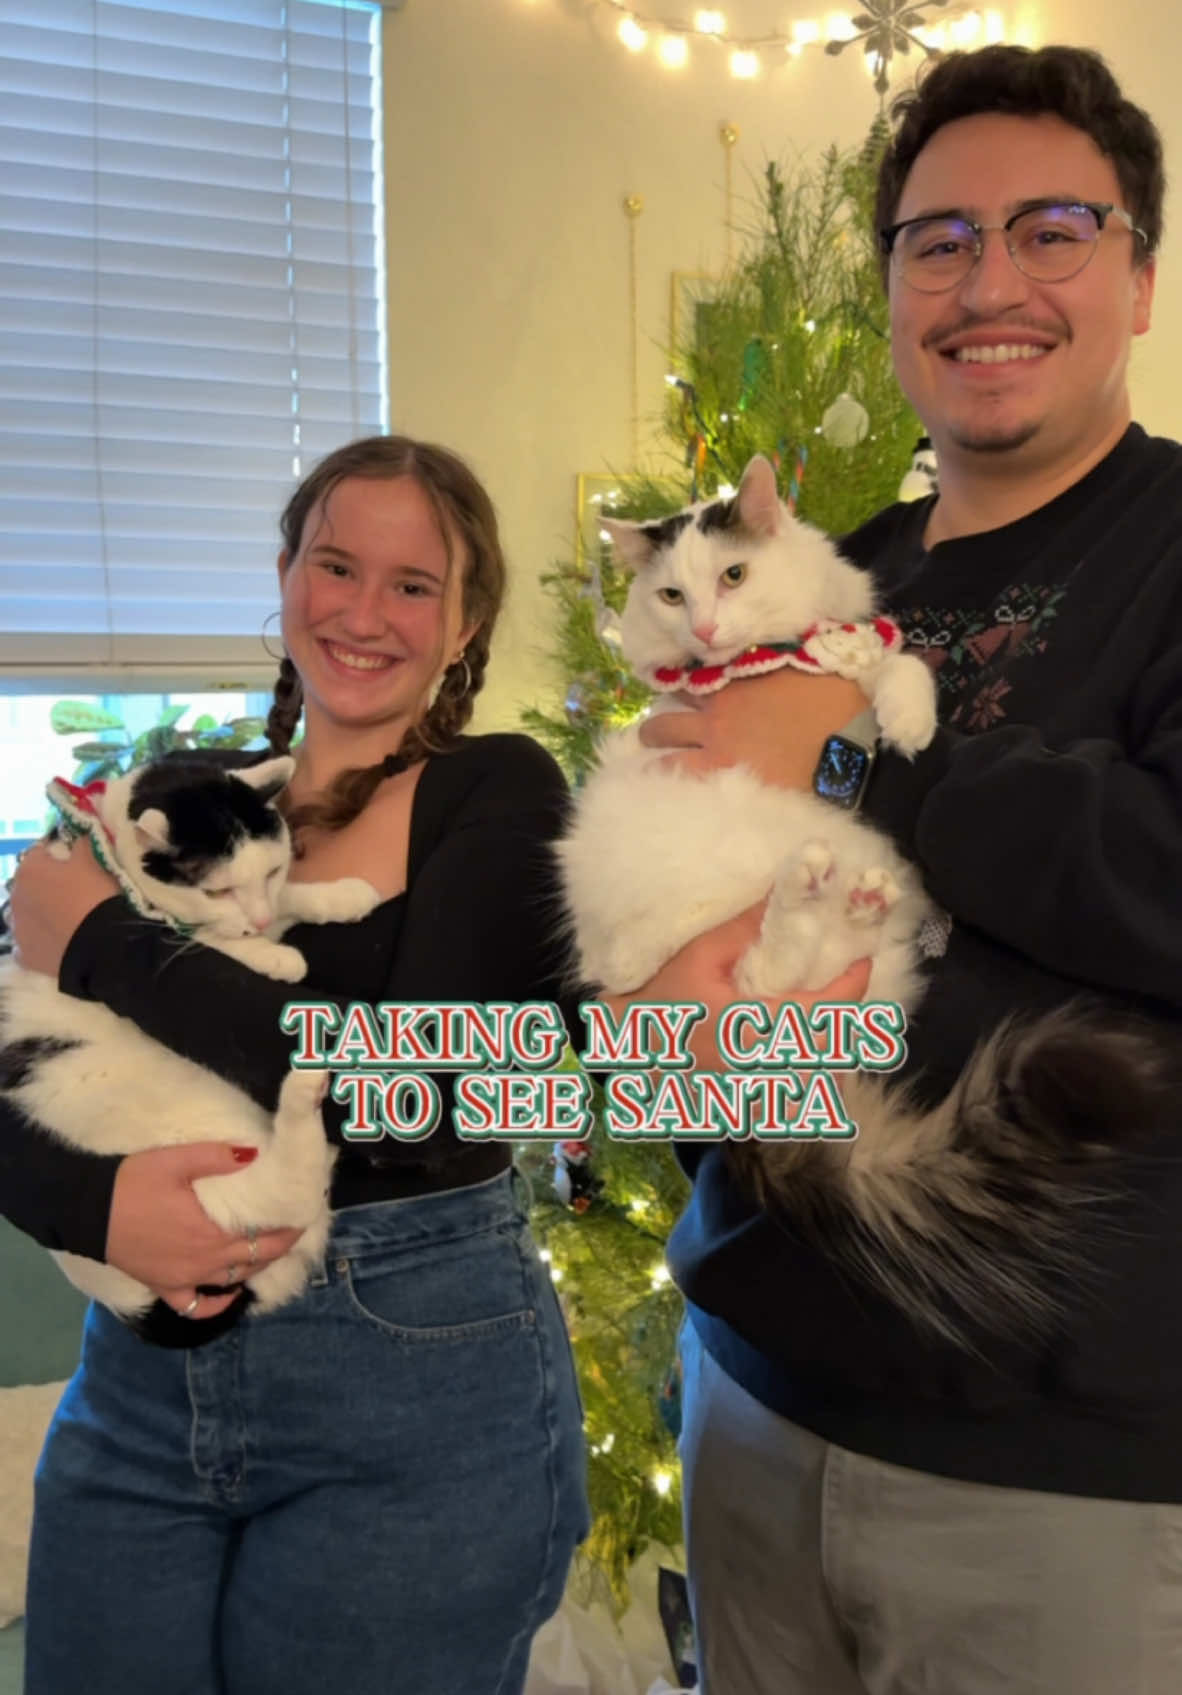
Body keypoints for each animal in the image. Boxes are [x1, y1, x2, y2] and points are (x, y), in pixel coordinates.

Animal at [0, 752, 376, 1335]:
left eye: (272, 870)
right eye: (216, 890)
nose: (258, 922)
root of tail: (129, 1302)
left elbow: (284, 902)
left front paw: (337, 895)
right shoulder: (173, 925)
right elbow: (205, 942)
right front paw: (272, 955)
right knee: (285, 1192)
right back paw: (303, 1093)